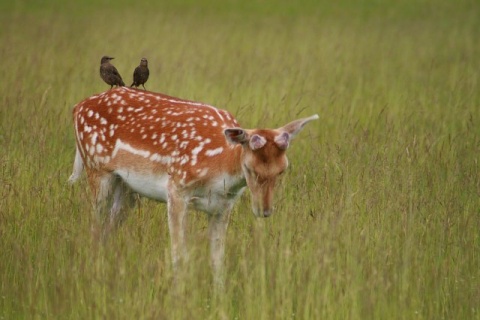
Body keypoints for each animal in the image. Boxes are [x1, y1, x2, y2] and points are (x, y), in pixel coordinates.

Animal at [67, 86, 316, 286]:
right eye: (250, 169)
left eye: (282, 170)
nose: (264, 211)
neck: (220, 166)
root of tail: (78, 106)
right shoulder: (176, 188)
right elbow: (179, 255)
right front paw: (180, 296)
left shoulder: (223, 206)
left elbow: (217, 259)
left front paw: (218, 298)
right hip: (96, 168)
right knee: (94, 226)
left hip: (126, 187)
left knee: (108, 229)